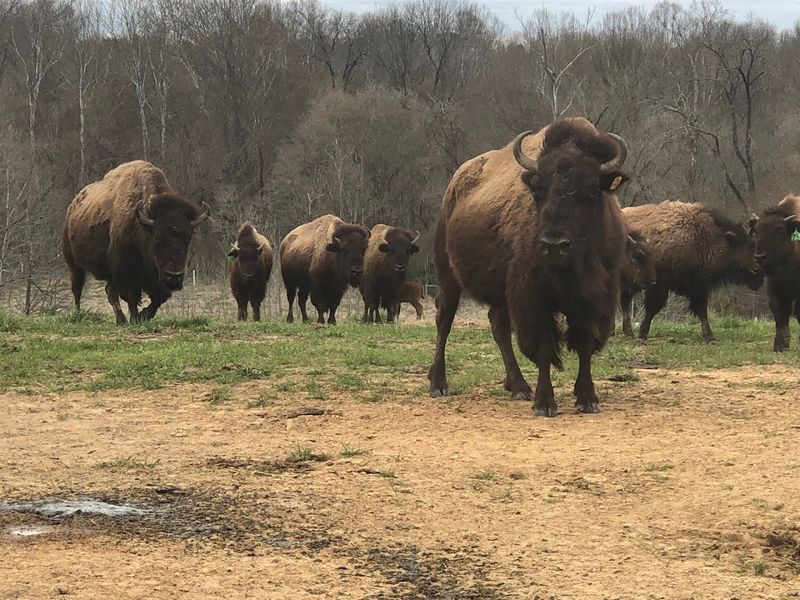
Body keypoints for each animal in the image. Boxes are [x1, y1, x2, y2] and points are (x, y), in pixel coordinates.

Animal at [63, 160, 209, 324]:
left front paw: (144, 315)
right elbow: (132, 297)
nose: (174, 276)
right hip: (74, 264)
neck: (143, 226)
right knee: (78, 289)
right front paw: (136, 318)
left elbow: (160, 297)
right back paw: (79, 314)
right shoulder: (126, 272)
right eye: (157, 237)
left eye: (188, 239)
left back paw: (120, 321)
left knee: (109, 293)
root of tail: (72, 207)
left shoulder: (155, 279)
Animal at [428, 117, 630, 417]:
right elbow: (544, 347)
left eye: (592, 191)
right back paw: (438, 384)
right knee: (445, 321)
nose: (554, 245)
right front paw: (544, 403)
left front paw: (587, 399)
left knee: (498, 327)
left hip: (499, 292)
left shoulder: (596, 297)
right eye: (538, 190)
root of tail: (453, 187)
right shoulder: (532, 297)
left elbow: (584, 344)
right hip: (448, 277)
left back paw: (519, 386)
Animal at [622, 201, 763, 342]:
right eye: (750, 245)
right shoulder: (660, 284)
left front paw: (710, 337)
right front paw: (642, 334)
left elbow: (702, 310)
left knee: (625, 302)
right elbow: (653, 307)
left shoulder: (699, 286)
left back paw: (627, 332)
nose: (759, 269)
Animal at [751, 195, 800, 351]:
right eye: (756, 230)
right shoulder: (776, 288)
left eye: (779, 230)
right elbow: (780, 314)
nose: (760, 257)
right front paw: (780, 346)